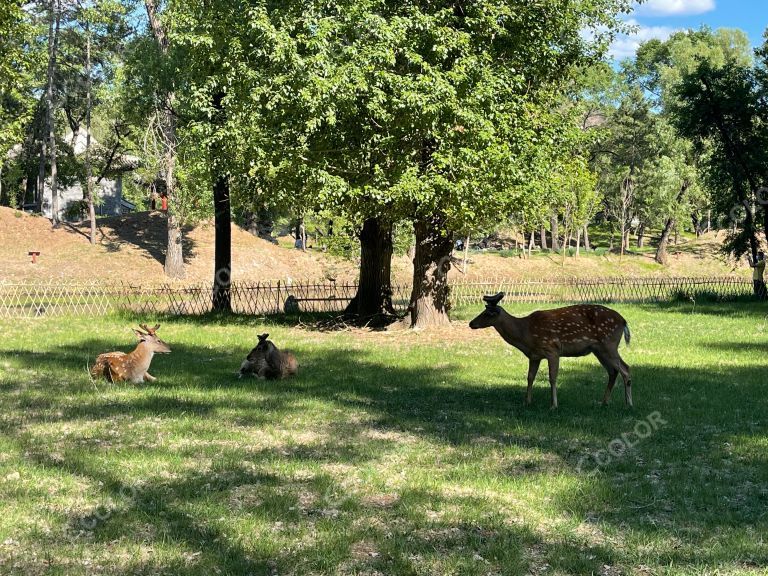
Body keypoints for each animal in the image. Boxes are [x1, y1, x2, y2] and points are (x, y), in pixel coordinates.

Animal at [472, 292, 632, 410]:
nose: (471, 323)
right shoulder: (534, 356)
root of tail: (624, 321)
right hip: (599, 350)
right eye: (483, 311)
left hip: (609, 344)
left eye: (487, 313)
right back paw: (604, 402)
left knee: (625, 368)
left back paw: (628, 404)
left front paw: (553, 405)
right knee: (613, 371)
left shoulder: (552, 350)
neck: (525, 334)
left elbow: (552, 377)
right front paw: (527, 401)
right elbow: (530, 377)